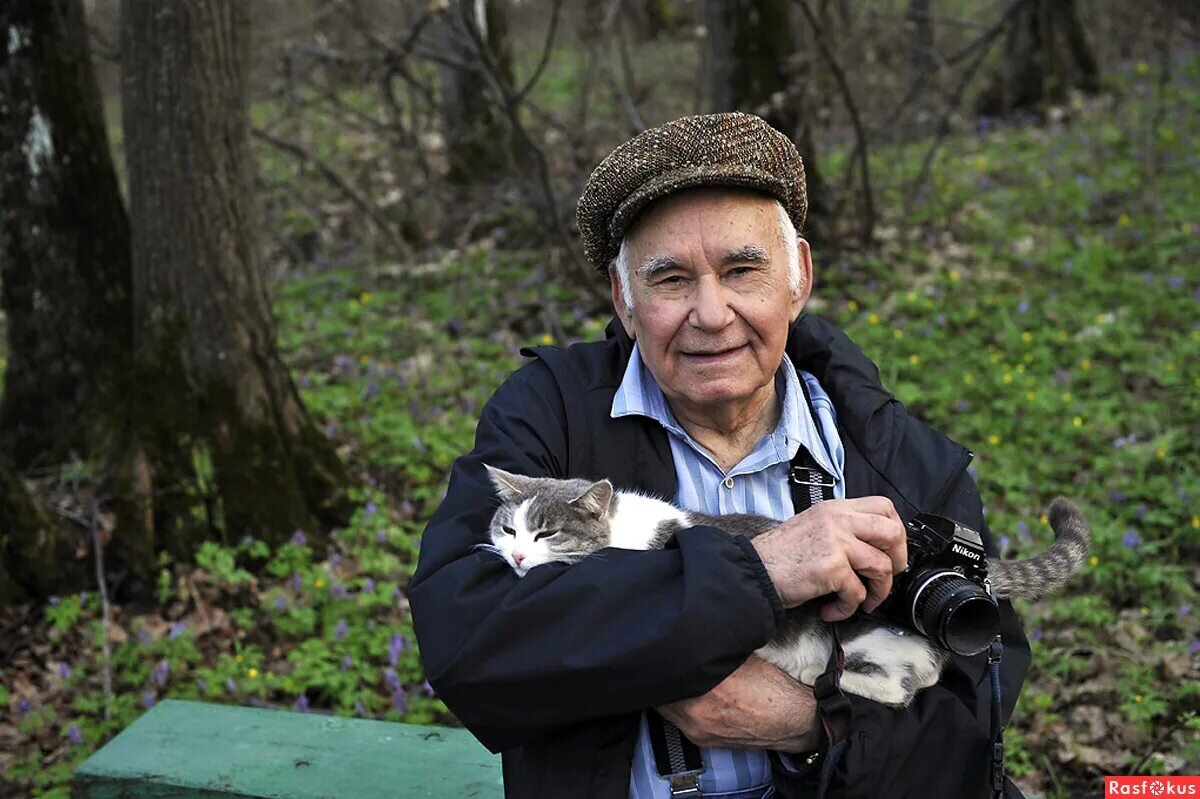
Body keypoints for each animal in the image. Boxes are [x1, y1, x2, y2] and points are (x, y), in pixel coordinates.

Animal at [475, 463, 1089, 705]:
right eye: (508, 528)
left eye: (548, 533)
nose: (519, 555)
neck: (623, 529)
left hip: (869, 639)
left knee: (900, 686)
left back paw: (813, 674)